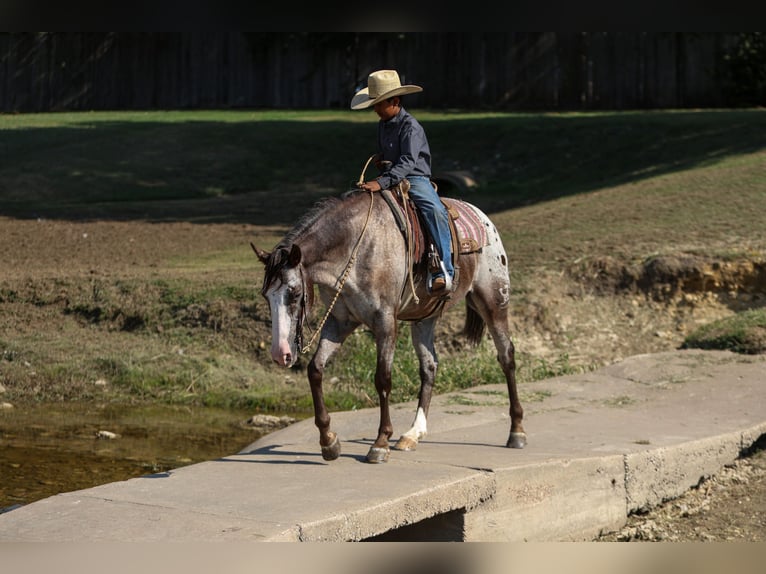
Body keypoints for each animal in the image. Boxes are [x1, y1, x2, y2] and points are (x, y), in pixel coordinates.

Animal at [252, 187, 528, 466]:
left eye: (295, 293)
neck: (357, 249)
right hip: (424, 318)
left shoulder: (385, 321)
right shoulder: (339, 322)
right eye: (266, 296)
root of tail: (483, 219)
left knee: (506, 356)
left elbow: (383, 378)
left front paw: (380, 443)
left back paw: (516, 431)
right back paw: (412, 434)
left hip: (493, 301)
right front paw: (329, 441)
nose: (281, 354)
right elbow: (315, 370)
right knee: (429, 366)